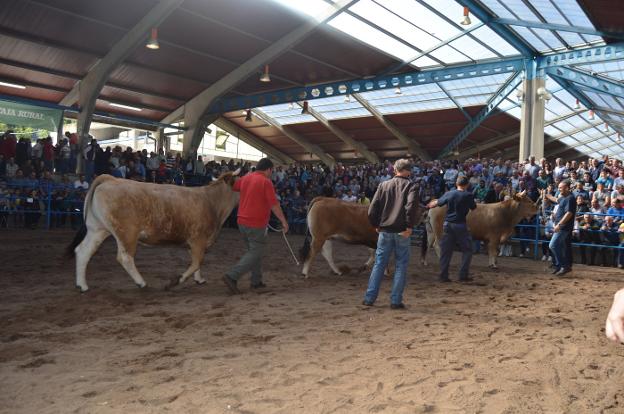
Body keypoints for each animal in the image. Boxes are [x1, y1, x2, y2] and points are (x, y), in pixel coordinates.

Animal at [66, 171, 239, 292]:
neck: (212, 202)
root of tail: (111, 179)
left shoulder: (195, 243)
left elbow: (197, 263)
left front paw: (199, 279)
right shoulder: (198, 239)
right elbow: (197, 262)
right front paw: (176, 281)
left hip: (97, 229)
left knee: (83, 252)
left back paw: (82, 286)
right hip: (127, 233)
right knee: (125, 258)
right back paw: (141, 283)